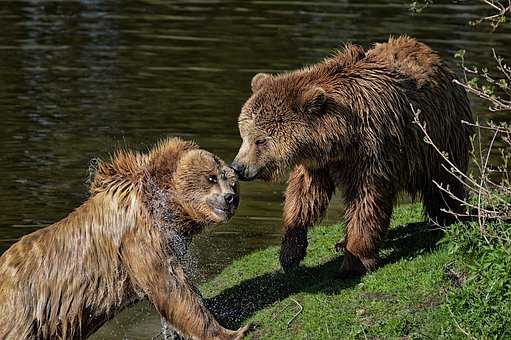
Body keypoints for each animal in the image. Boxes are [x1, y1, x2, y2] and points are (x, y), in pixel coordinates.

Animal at [0, 138, 250, 340]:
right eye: (211, 177)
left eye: (232, 182)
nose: (230, 198)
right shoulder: (139, 237)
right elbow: (172, 288)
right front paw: (233, 331)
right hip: (24, 315)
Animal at [231, 36, 472, 276]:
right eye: (244, 135)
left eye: (260, 140)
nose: (238, 167)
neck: (342, 137)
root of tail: (434, 57)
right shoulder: (318, 162)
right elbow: (304, 196)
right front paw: (290, 251)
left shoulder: (372, 151)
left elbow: (366, 200)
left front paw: (355, 261)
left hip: (440, 138)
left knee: (444, 183)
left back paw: (449, 218)